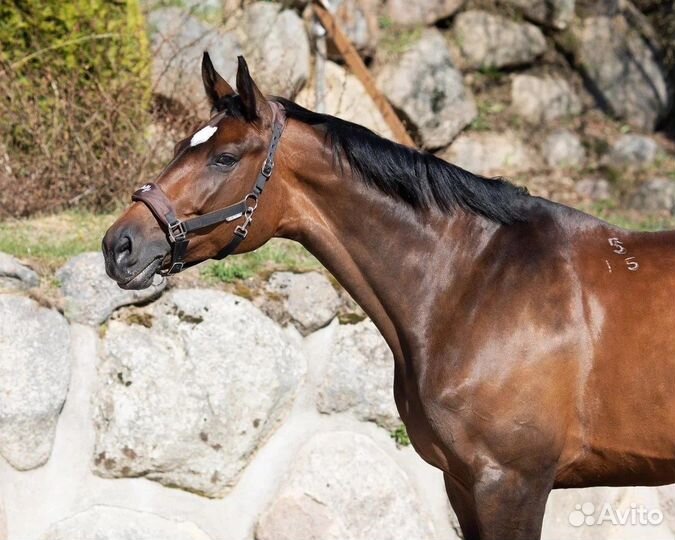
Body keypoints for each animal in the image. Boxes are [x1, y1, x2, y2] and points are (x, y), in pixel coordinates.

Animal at [102, 53, 675, 540]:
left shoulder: (514, 484)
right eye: (180, 147)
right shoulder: (461, 483)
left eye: (224, 158)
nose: (119, 246)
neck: (476, 283)